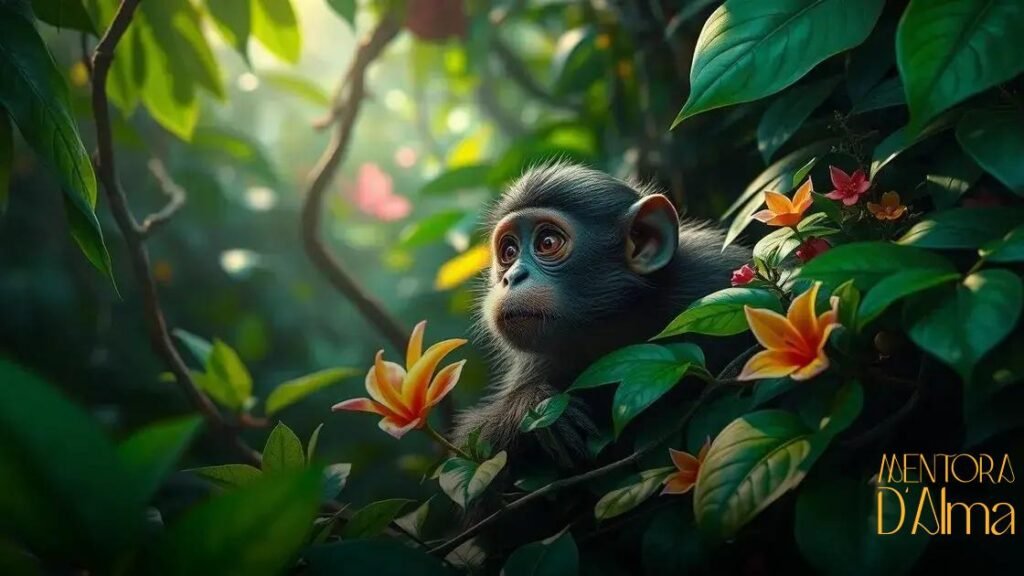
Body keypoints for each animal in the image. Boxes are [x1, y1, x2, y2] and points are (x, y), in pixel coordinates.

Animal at [452, 162, 752, 468]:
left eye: (547, 242)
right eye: (509, 251)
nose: (512, 277)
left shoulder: (712, 276)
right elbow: (467, 458)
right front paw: (533, 406)